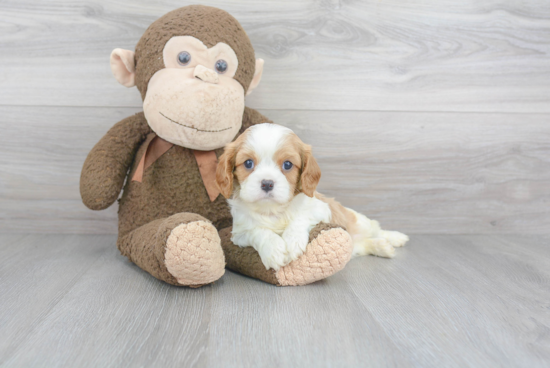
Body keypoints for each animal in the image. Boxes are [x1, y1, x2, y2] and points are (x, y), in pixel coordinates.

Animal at [216, 123, 410, 270]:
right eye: (248, 163)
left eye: (287, 165)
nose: (267, 183)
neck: (273, 210)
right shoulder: (239, 234)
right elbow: (258, 231)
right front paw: (273, 250)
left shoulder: (321, 209)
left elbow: (300, 218)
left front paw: (293, 241)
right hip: (355, 246)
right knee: (365, 244)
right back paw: (382, 247)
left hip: (359, 221)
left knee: (377, 228)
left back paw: (395, 238)